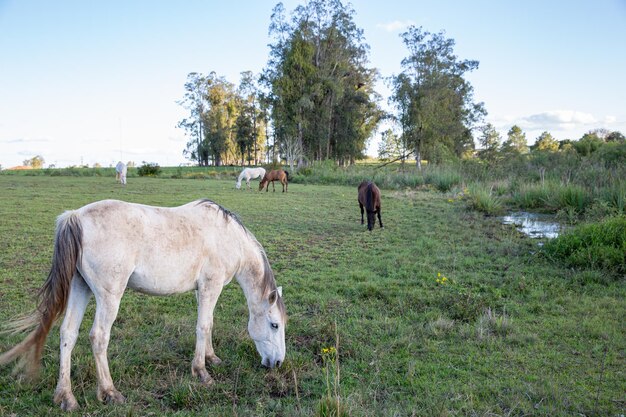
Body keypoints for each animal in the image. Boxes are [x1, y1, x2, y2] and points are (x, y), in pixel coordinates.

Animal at [0, 198, 286, 410]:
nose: (278, 363)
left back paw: (66, 397)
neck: (227, 237)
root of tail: (76, 216)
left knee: (67, 334)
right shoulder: (210, 286)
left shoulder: (201, 291)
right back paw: (110, 392)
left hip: (80, 288)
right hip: (109, 295)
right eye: (274, 324)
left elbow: (209, 324)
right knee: (98, 336)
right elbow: (203, 326)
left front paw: (211, 357)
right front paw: (202, 372)